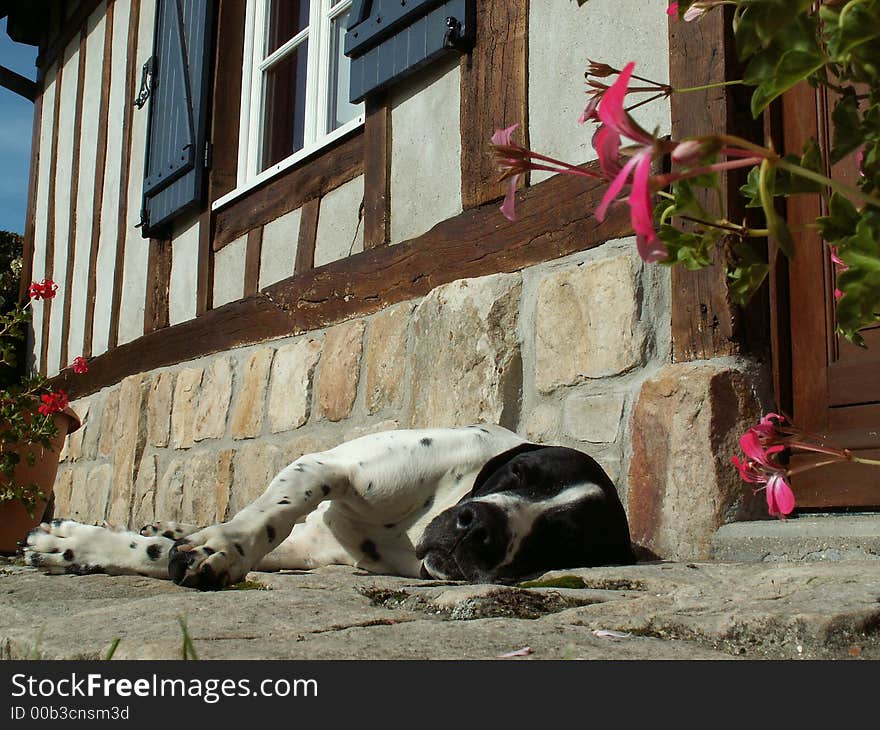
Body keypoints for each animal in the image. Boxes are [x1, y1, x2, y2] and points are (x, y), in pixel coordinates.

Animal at [24, 424, 636, 588]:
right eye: (518, 473)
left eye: (560, 539)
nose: (476, 527)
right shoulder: (329, 467)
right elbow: (270, 515)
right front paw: (222, 547)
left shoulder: (306, 550)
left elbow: (155, 552)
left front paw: (74, 547)